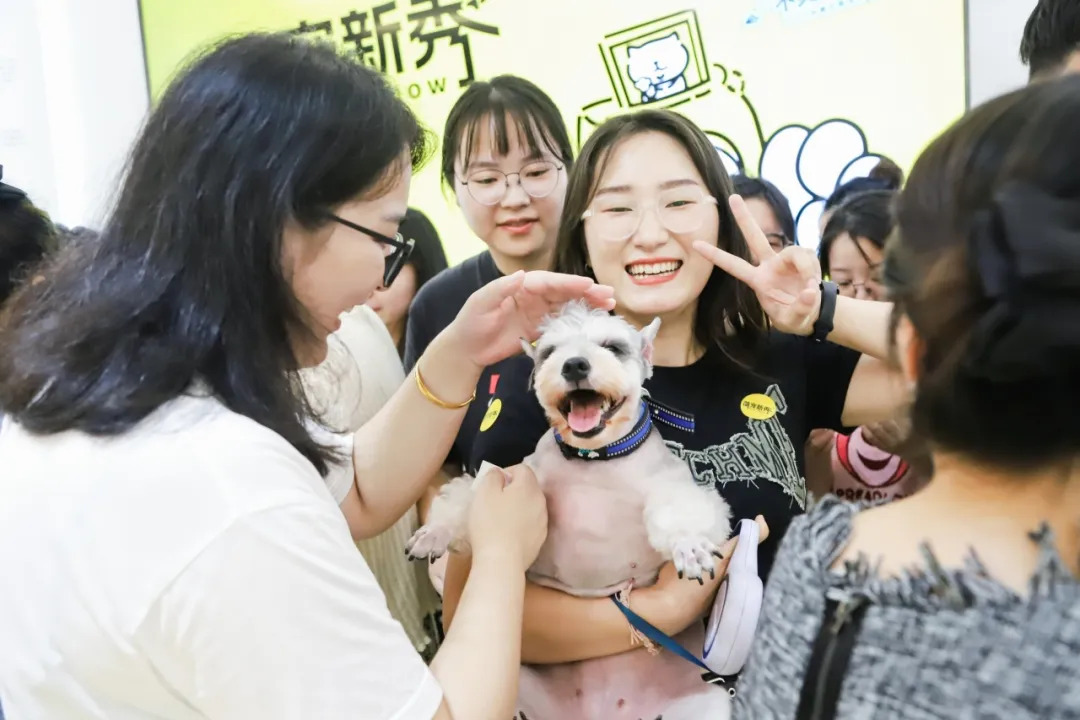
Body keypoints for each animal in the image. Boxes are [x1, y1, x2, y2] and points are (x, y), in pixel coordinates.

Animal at [407, 301, 733, 720]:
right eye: (549, 352)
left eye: (613, 347)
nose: (574, 364)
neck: (594, 459)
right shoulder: (515, 476)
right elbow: (466, 497)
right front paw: (436, 531)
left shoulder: (675, 486)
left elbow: (684, 511)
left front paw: (690, 546)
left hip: (707, 705)